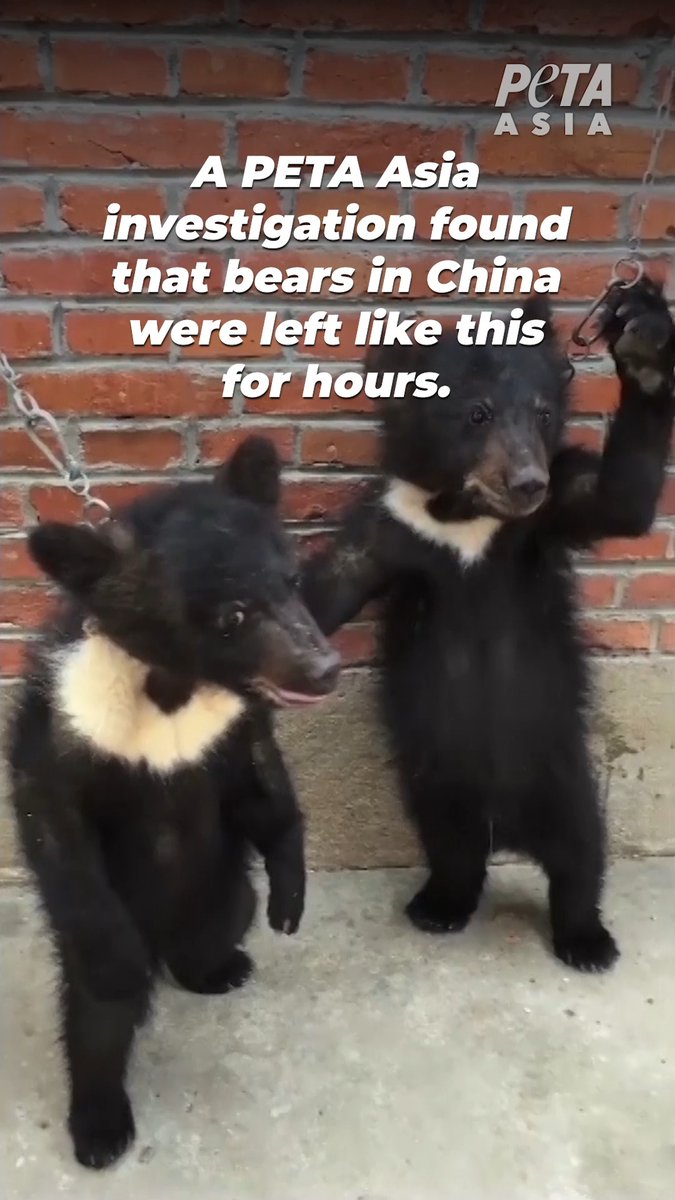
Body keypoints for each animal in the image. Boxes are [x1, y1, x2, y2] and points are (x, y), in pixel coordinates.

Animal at [8, 436, 339, 1170]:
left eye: (293, 581)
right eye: (232, 616)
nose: (325, 670)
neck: (172, 689)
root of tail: (165, 938)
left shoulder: (230, 728)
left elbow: (263, 787)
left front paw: (290, 901)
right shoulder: (71, 724)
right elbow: (53, 818)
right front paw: (120, 967)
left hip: (220, 895)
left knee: (224, 921)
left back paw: (219, 967)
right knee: (96, 1020)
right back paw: (101, 1126)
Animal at [302, 278, 675, 972]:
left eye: (543, 414)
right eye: (476, 414)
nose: (527, 481)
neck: (466, 515)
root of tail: (506, 825)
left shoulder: (551, 512)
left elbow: (618, 500)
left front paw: (644, 342)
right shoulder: (393, 526)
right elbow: (331, 587)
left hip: (562, 775)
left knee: (582, 855)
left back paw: (587, 942)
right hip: (435, 783)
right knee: (452, 851)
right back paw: (439, 906)